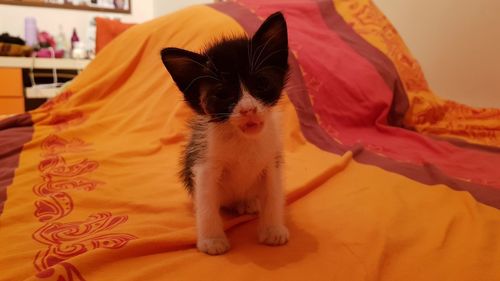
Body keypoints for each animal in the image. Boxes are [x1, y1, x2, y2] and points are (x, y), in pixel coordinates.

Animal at [162, 12, 290, 255]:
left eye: (261, 83)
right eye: (222, 94)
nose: (248, 109)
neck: (243, 139)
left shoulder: (272, 159)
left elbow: (273, 193)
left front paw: (273, 229)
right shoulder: (205, 164)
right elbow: (206, 201)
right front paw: (211, 240)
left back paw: (249, 203)